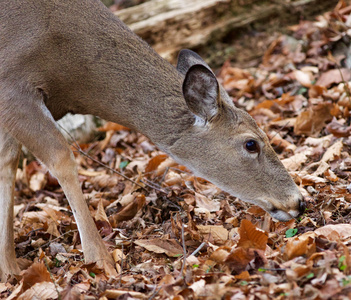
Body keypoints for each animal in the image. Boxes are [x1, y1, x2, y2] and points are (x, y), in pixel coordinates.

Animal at [0, 0, 306, 282]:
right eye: (251, 144)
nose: (298, 201)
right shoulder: (12, 85)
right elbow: (60, 159)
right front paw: (100, 260)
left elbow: (7, 163)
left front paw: (9, 270)